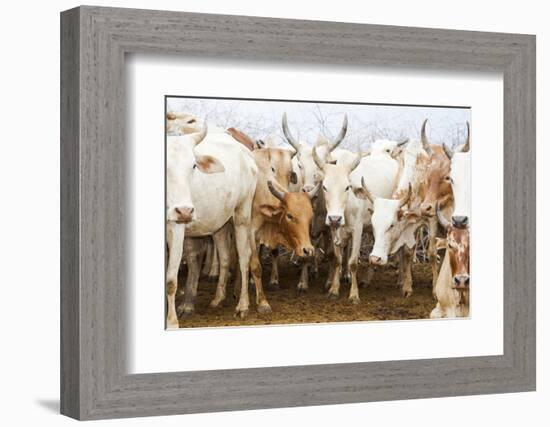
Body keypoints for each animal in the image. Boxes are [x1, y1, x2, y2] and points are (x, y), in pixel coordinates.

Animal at [166, 123, 258, 328]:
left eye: (193, 165)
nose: (184, 211)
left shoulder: (175, 227)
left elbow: (170, 280)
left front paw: (172, 322)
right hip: (220, 223)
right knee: (223, 257)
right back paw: (217, 298)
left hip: (242, 214)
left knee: (243, 257)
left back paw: (242, 306)